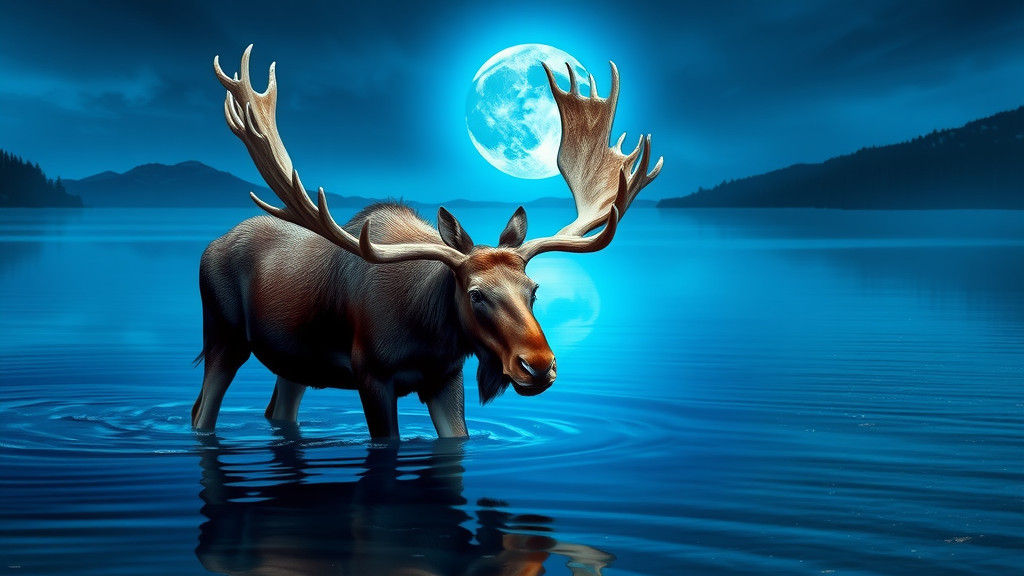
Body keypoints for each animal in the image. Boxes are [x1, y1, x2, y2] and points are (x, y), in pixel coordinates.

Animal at [192, 45, 662, 439]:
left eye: (534, 289)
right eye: (475, 294)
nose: (539, 366)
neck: (428, 330)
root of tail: (210, 245)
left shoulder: (445, 377)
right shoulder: (371, 375)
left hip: (296, 361)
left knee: (278, 408)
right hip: (223, 337)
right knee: (201, 410)